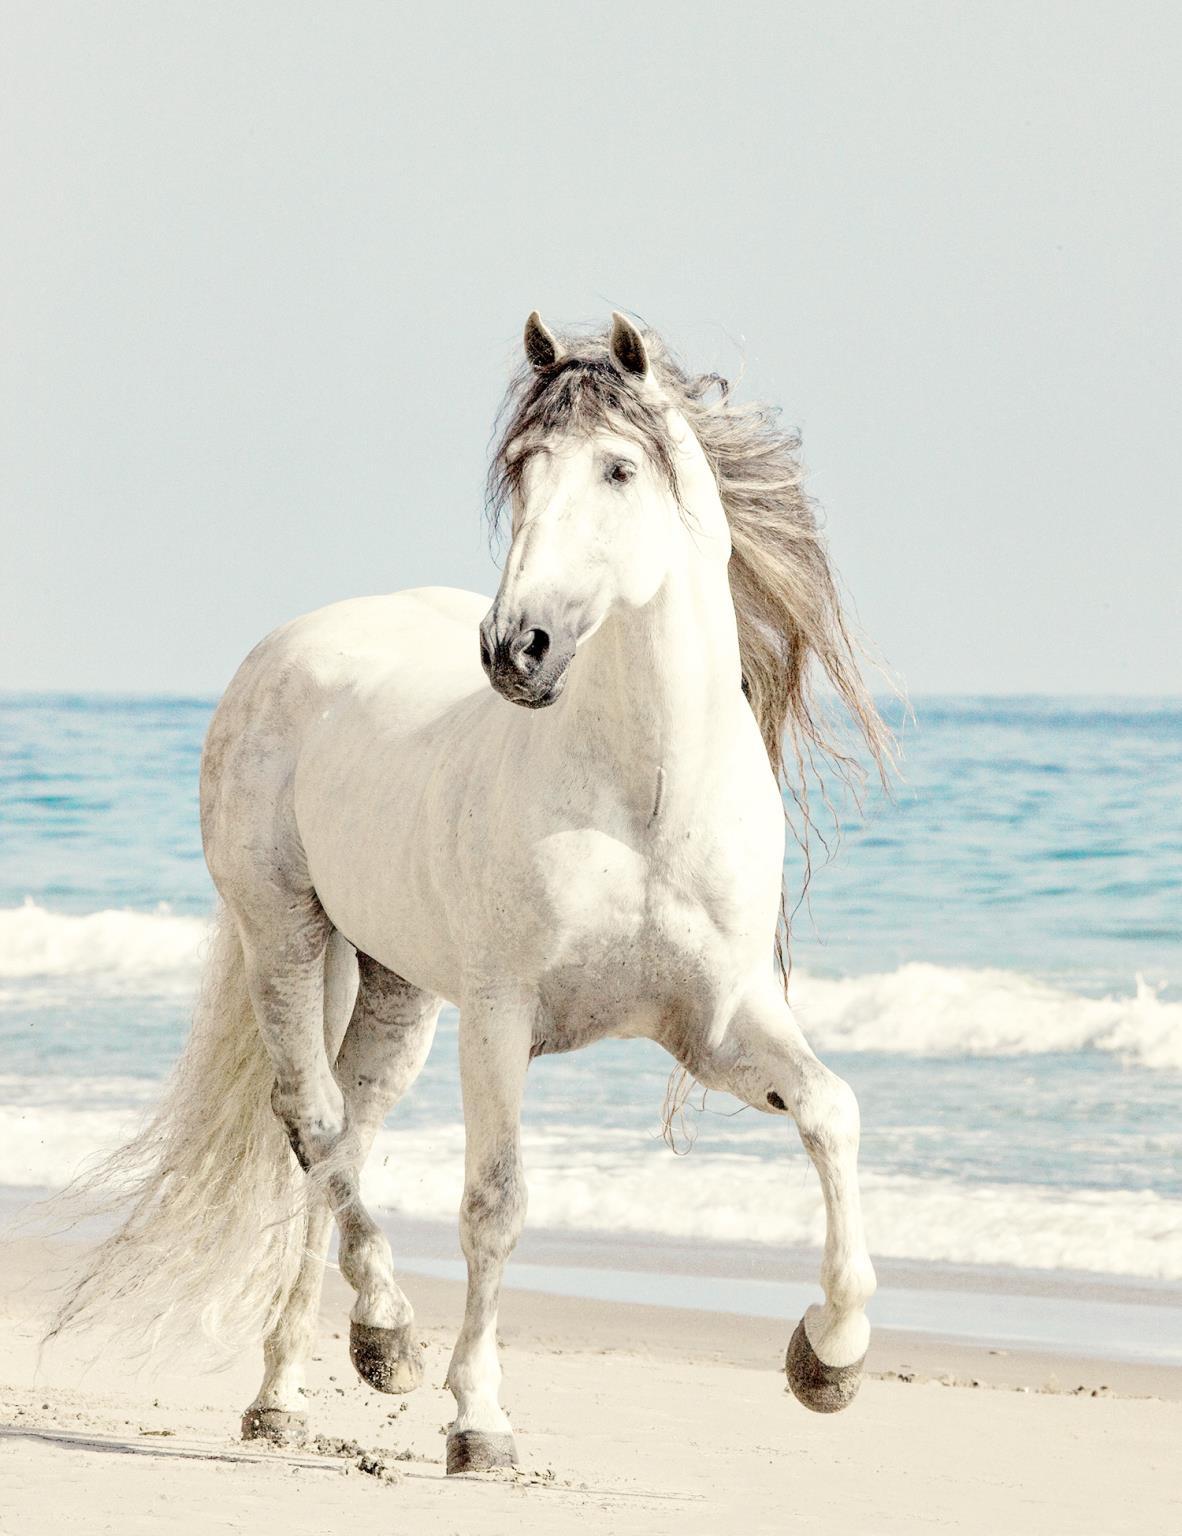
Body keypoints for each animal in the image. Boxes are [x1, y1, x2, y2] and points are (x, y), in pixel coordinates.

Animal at [50, 311, 890, 1474]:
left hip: (398, 988)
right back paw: (384, 1342)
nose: (514, 649)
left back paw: (293, 1390)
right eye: (523, 467)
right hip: (288, 937)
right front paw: (479, 1422)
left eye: (619, 468)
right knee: (315, 1123)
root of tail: (290, 644)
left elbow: (829, 1111)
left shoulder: (714, 1024)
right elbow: (496, 1202)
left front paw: (829, 1359)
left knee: (345, 1136)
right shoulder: (502, 1019)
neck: (642, 799)